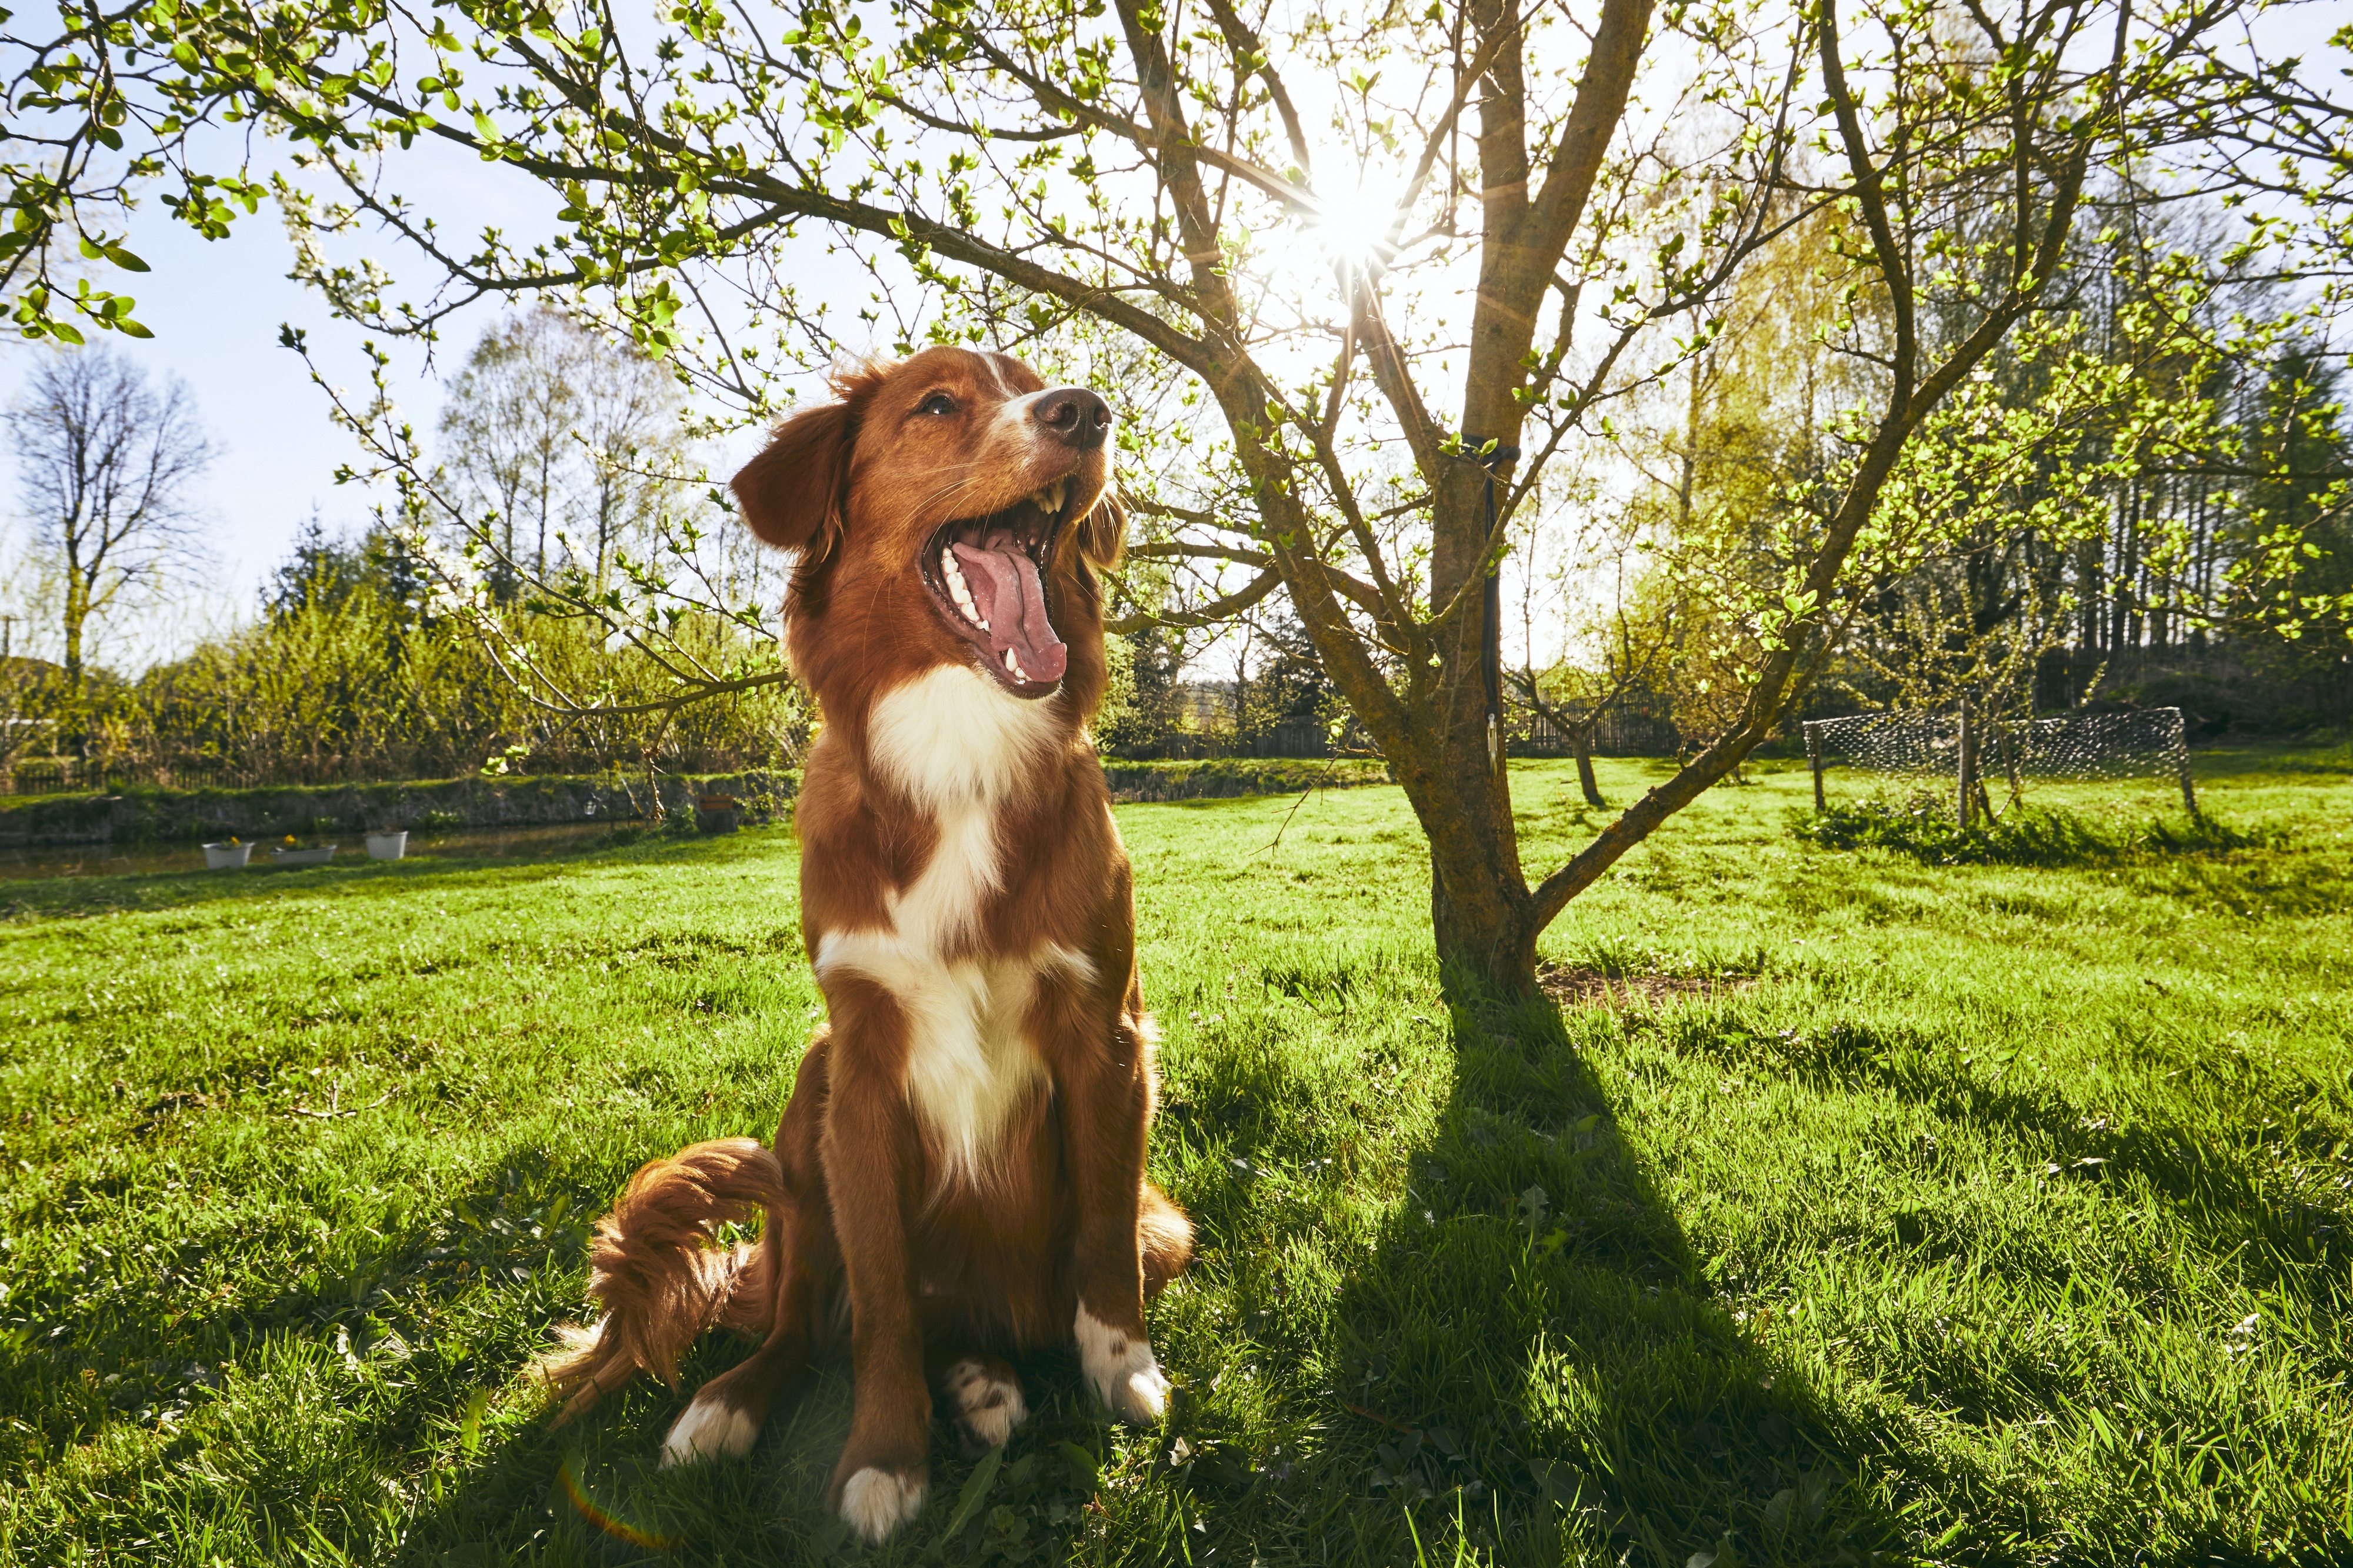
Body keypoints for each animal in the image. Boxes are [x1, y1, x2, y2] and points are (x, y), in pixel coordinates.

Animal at [539, 346, 1186, 1534]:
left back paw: (984, 1380)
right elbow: (882, 1303)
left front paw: (1123, 1372)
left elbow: (1104, 1245)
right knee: (805, 1322)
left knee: (1020, 1300)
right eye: (938, 404)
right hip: (810, 1101)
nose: (1085, 412)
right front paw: (885, 1458)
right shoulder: (867, 1066)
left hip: (1151, 1222)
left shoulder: (1109, 1037)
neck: (959, 741)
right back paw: (732, 1404)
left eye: (1035, 379)